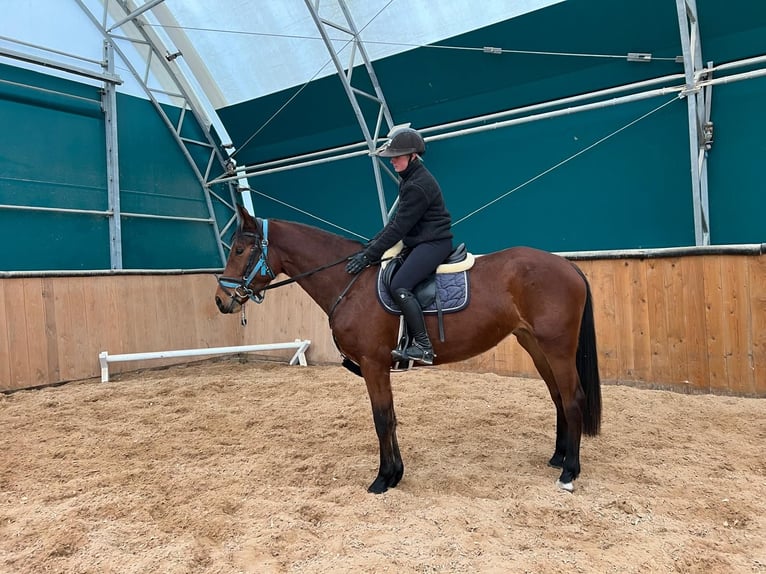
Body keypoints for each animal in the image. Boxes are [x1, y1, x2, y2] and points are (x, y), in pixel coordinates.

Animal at [214, 207, 600, 496]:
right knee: (558, 396)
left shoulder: (373, 364)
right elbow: (391, 417)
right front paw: (396, 473)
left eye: (239, 250)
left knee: (573, 398)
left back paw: (569, 473)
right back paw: (558, 457)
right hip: (535, 344)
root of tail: (568, 265)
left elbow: (381, 418)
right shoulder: (379, 366)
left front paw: (383, 478)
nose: (221, 300)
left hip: (557, 348)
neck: (351, 283)